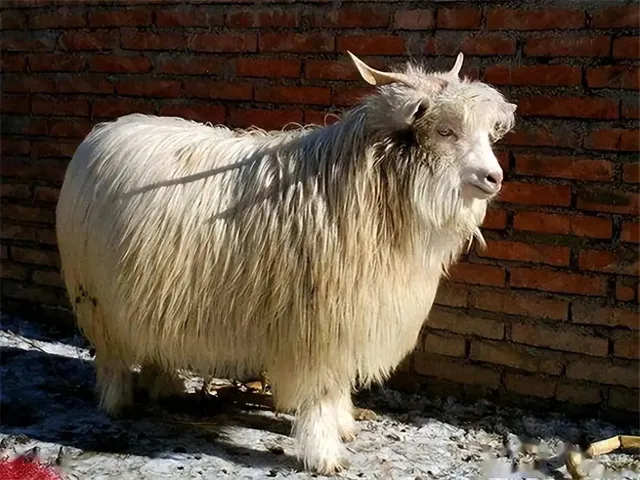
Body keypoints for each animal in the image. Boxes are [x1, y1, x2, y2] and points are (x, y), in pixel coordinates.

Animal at [56, 52, 516, 474]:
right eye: (445, 130)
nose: (495, 179)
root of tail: (107, 130)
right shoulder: (319, 326)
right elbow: (321, 394)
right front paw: (325, 454)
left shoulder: (346, 321)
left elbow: (336, 386)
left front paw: (343, 425)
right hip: (97, 297)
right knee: (113, 355)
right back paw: (117, 403)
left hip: (151, 293)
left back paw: (165, 387)